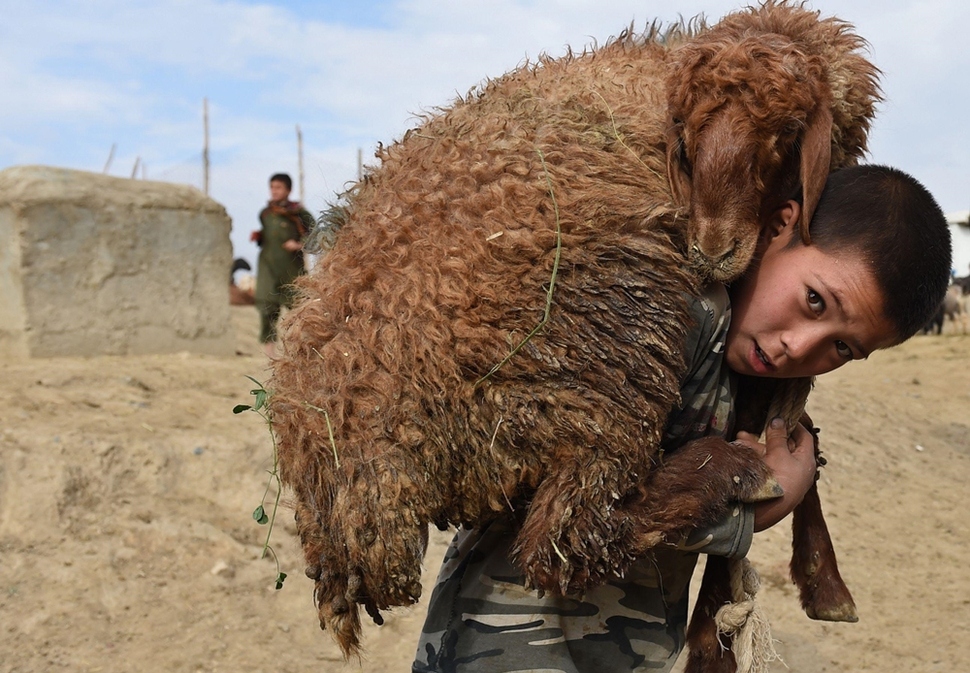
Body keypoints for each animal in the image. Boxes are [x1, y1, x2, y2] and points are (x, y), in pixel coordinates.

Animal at [262, 0, 876, 656]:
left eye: (787, 133)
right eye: (685, 137)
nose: (709, 252)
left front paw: (821, 583)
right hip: (602, 362)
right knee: (564, 542)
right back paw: (730, 472)